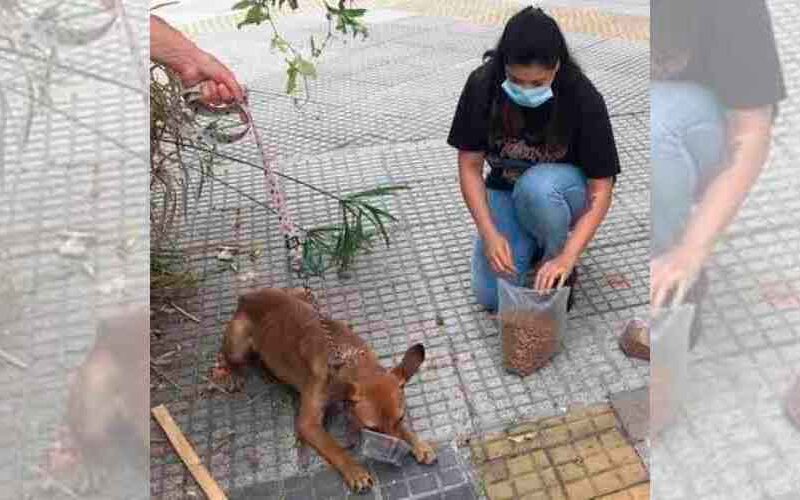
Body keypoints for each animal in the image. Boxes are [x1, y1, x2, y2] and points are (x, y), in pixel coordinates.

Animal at [216, 288, 434, 490]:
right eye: (372, 429)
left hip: (299, 296)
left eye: (401, 418)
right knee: (230, 357)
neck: (352, 361)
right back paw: (235, 374)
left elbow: (404, 431)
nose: (396, 455)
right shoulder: (308, 424)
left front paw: (417, 443)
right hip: (238, 343)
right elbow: (335, 448)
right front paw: (354, 470)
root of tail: (248, 296)